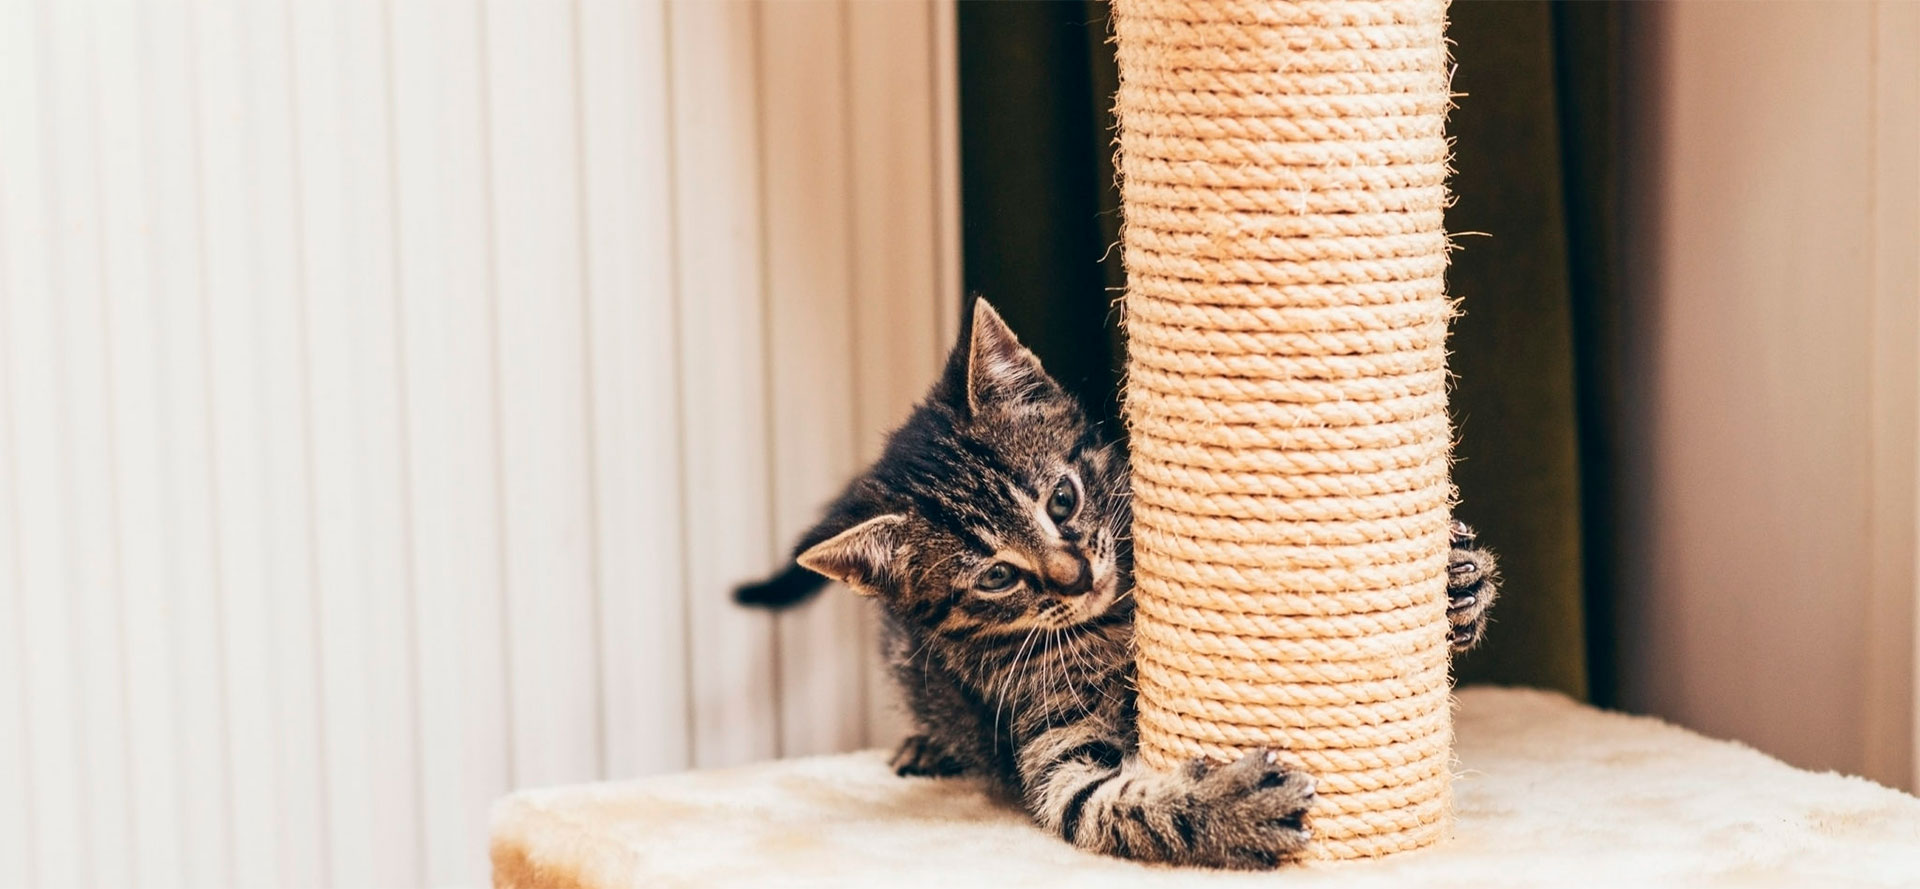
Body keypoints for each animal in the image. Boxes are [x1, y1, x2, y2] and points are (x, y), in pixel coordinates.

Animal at [733, 299, 1497, 871]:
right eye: (997, 575)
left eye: (1063, 499)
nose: (1075, 576)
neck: (1113, 619)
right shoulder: (1052, 743)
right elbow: (1113, 805)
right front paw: (1233, 808)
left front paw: (1459, 587)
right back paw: (928, 744)